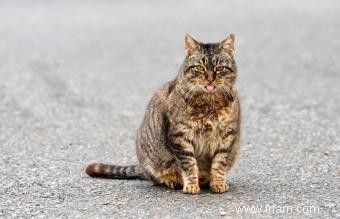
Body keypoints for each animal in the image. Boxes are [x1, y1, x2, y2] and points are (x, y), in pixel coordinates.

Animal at [87, 33, 242, 194]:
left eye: (220, 68)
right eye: (199, 67)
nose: (210, 79)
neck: (209, 103)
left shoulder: (228, 136)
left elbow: (219, 163)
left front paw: (217, 183)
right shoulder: (180, 136)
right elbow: (189, 164)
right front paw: (191, 185)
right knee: (155, 177)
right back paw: (172, 181)